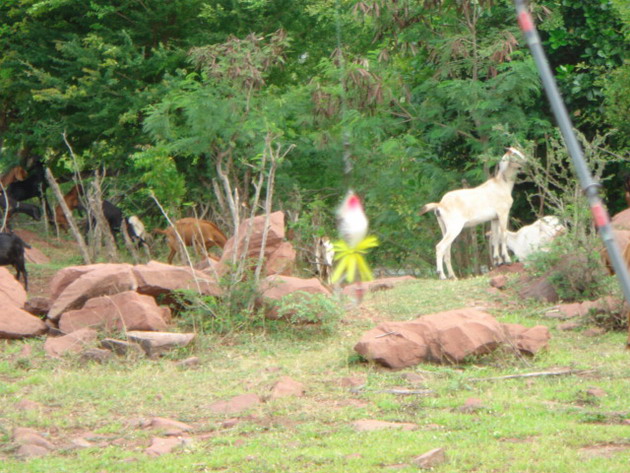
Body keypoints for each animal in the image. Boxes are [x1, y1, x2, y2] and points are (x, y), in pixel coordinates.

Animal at [420, 148, 528, 278]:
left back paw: (453, 276)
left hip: (444, 228)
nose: (527, 161)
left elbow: (495, 236)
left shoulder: (494, 218)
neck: (502, 185)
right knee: (440, 247)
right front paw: (507, 260)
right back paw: (442, 276)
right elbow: (503, 235)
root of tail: (440, 204)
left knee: (447, 250)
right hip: (454, 227)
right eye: (514, 153)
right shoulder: (503, 213)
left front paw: (498, 261)